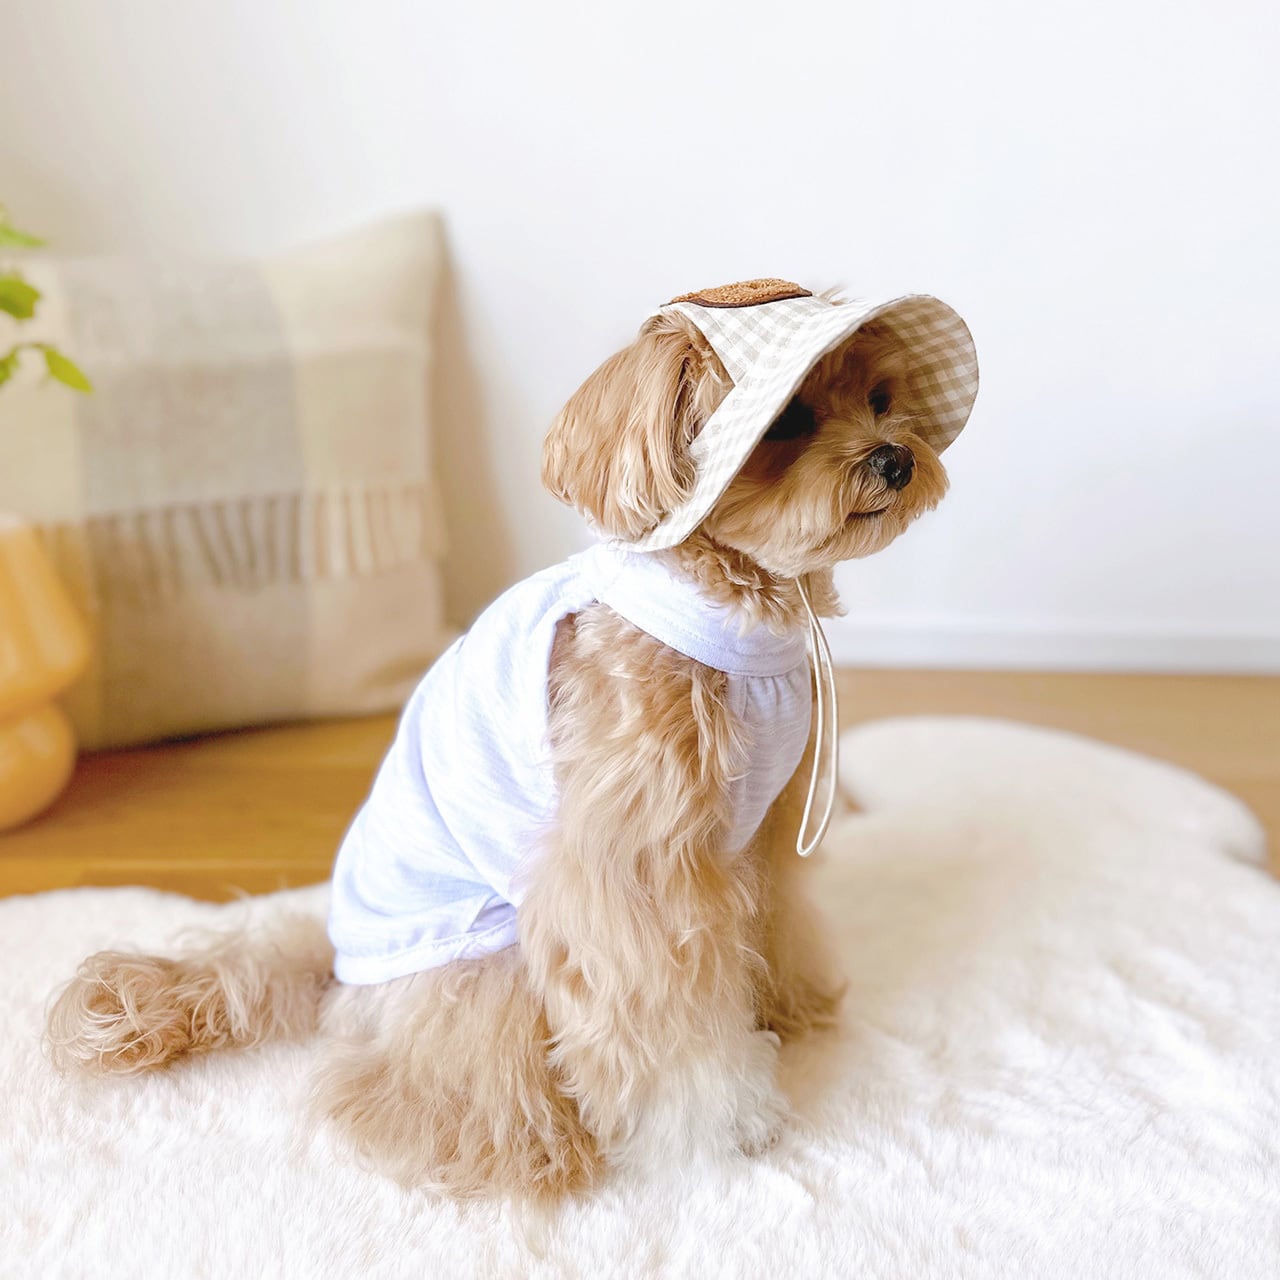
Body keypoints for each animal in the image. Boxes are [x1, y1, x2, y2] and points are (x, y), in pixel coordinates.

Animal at [46, 280, 977, 1200]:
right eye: (788, 421)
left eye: (881, 399)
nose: (896, 458)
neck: (737, 627)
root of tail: (341, 963)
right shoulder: (636, 875)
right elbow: (669, 1025)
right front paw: (724, 1124)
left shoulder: (759, 837)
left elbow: (771, 929)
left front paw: (784, 1008)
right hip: (488, 968)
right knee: (406, 1094)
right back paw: (526, 1146)